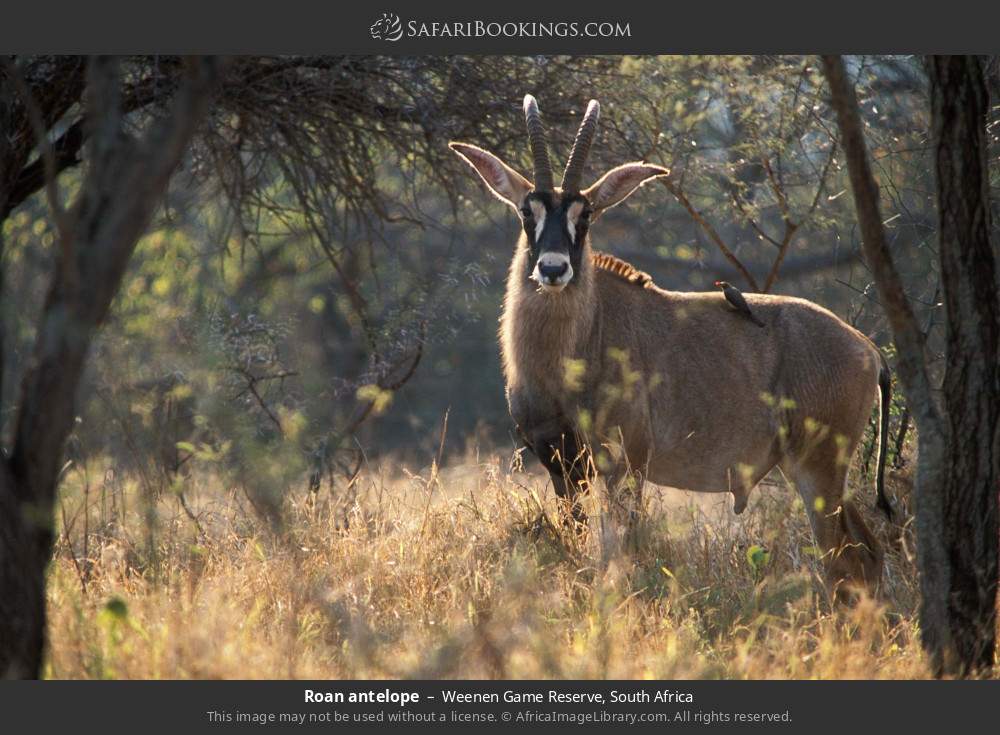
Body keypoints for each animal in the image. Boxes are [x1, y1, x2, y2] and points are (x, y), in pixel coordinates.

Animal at [450, 95, 893, 596]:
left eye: (585, 215)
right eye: (529, 212)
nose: (553, 269)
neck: (580, 341)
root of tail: (869, 351)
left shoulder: (624, 463)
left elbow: (621, 551)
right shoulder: (560, 463)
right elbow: (577, 542)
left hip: (817, 469)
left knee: (845, 559)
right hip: (815, 472)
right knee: (867, 553)